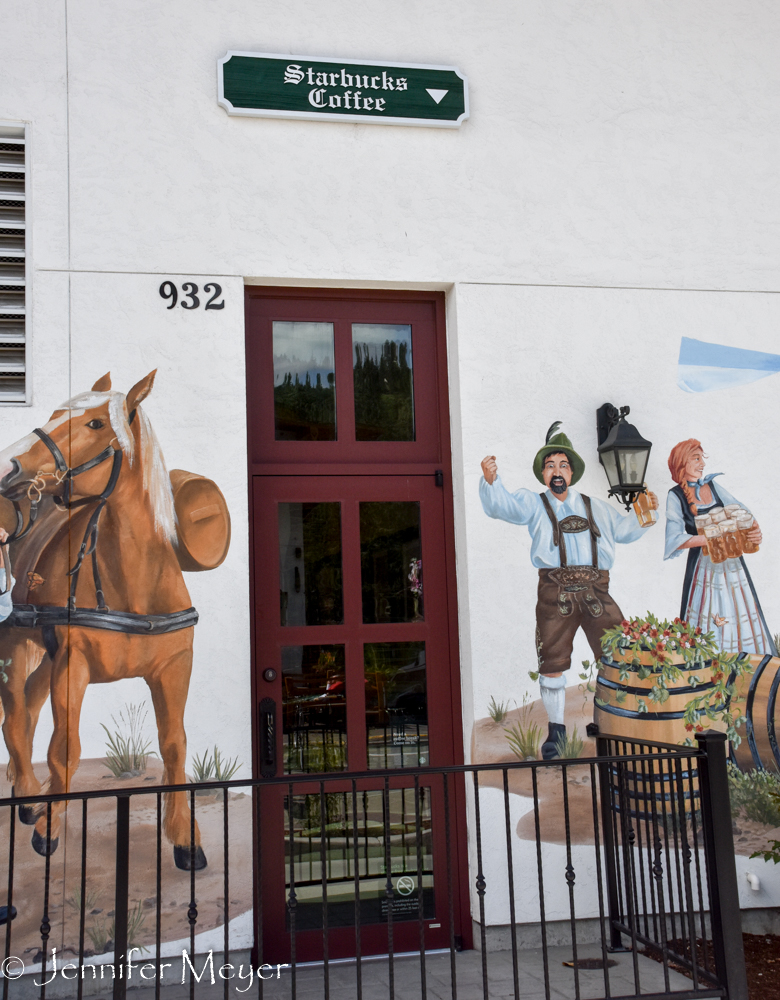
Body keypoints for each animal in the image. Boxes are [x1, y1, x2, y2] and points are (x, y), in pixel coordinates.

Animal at [0, 372, 207, 872]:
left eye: (95, 423)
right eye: (55, 413)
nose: (10, 469)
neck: (133, 585)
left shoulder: (174, 667)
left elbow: (174, 744)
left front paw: (184, 836)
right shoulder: (72, 666)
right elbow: (65, 749)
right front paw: (50, 829)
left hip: (45, 657)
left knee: (26, 709)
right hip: (16, 645)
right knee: (14, 714)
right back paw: (29, 799)